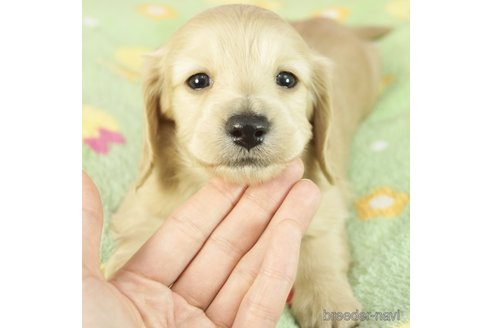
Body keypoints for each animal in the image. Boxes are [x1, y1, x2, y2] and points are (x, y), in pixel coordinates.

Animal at [105, 5, 386, 328]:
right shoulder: (140, 200)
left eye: (286, 79)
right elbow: (143, 229)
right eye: (198, 81)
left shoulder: (327, 192)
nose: (249, 128)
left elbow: (319, 241)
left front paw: (326, 298)